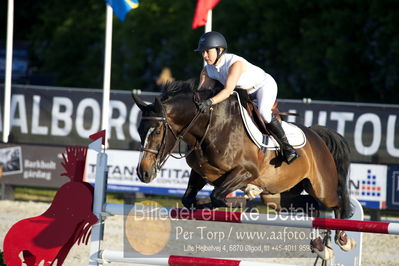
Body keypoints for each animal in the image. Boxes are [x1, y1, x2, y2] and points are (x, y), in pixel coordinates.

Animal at [131, 79, 356, 260]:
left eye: (157, 131)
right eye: (140, 131)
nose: (144, 173)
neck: (209, 126)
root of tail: (317, 136)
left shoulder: (246, 172)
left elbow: (217, 196)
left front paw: (239, 201)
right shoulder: (200, 173)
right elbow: (191, 199)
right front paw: (204, 205)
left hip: (322, 188)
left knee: (336, 204)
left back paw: (343, 240)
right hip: (277, 196)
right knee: (311, 206)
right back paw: (321, 247)